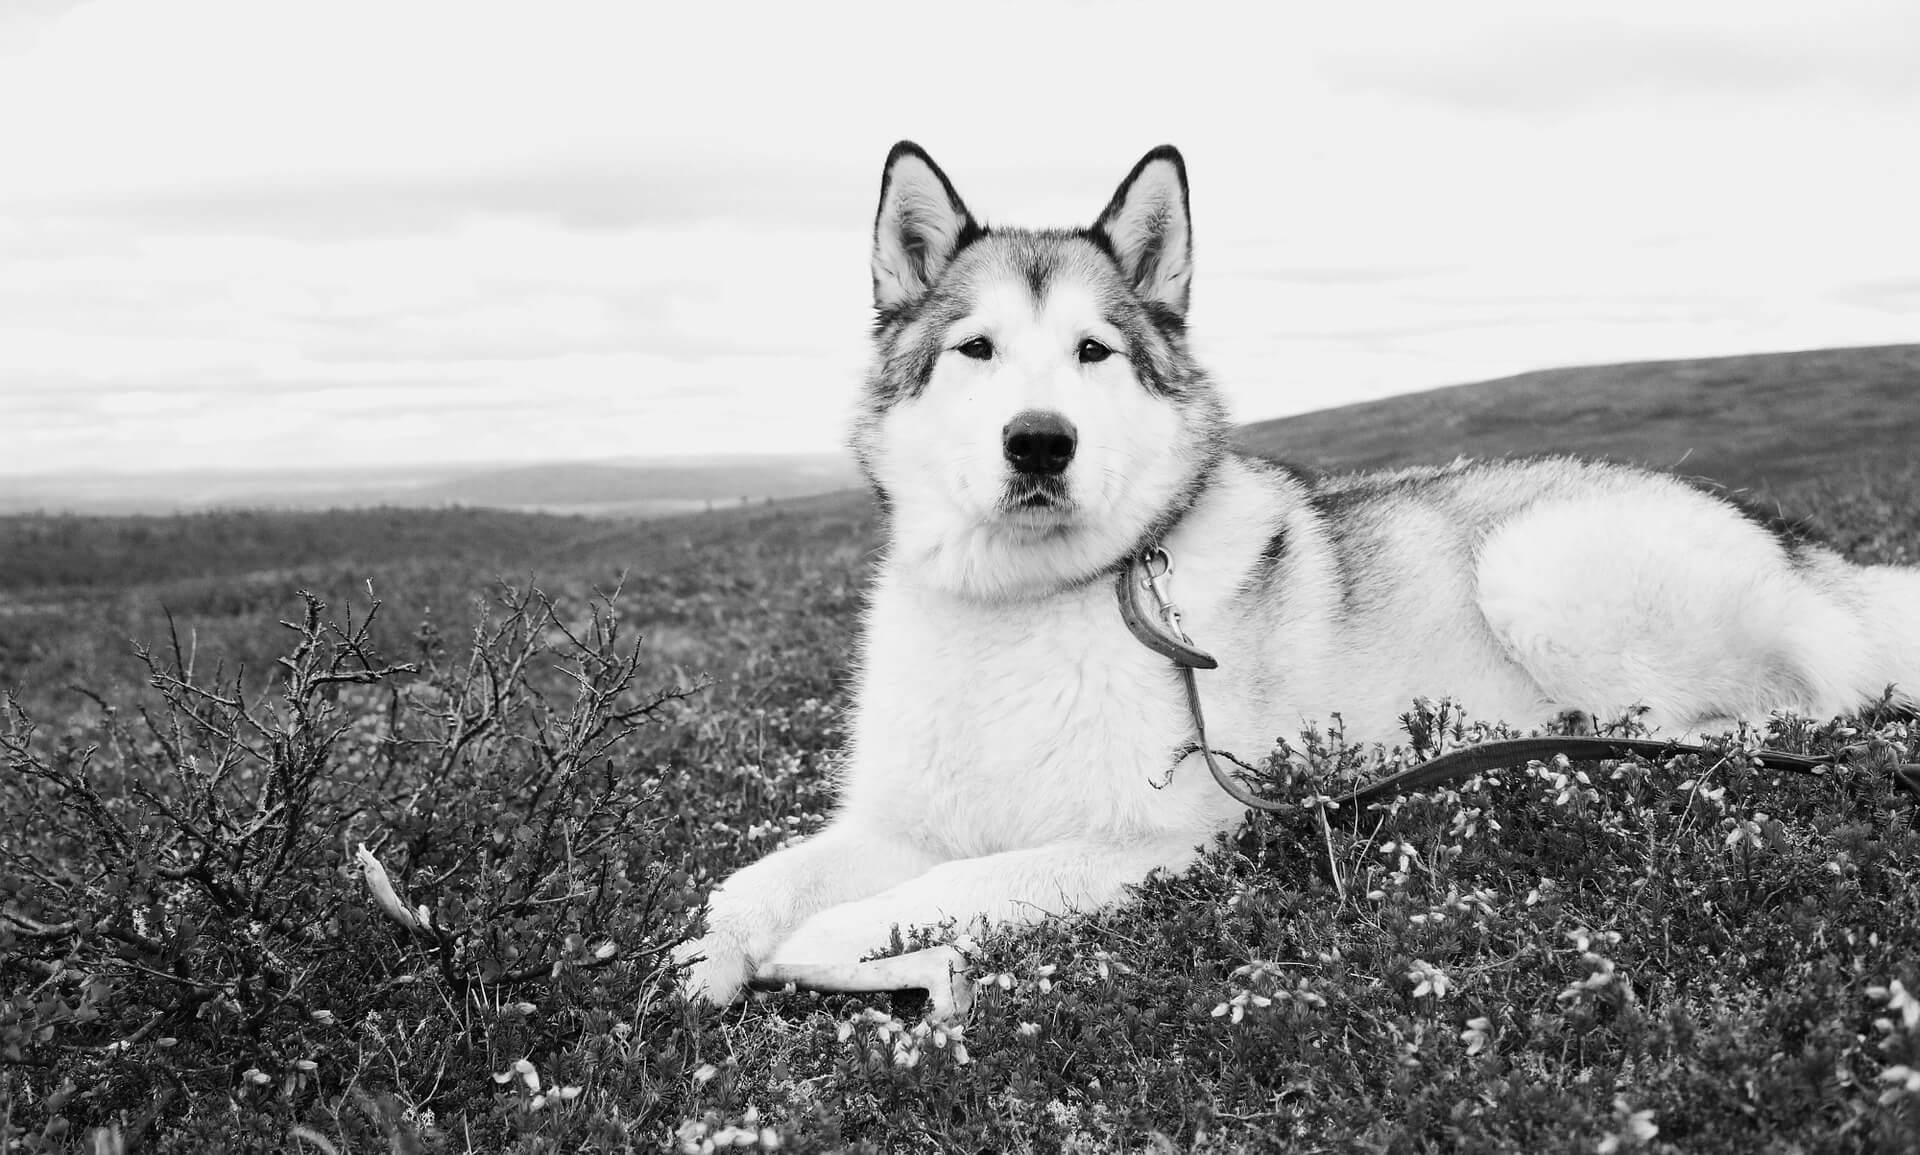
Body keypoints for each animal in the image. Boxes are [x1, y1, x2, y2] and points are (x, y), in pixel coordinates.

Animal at [675, 137, 1920, 997]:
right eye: (975, 348)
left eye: (1093, 352)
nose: (1039, 443)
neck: (1027, 603)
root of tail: (1808, 547)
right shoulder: (899, 822)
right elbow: (752, 881)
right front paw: (698, 963)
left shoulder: (1157, 840)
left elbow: (934, 892)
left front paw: (826, 946)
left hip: (1541, 565)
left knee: (1792, 712)